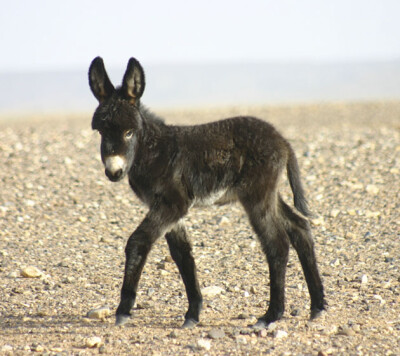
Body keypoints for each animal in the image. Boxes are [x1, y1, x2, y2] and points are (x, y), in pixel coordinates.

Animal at [89, 56, 326, 328]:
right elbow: (182, 255)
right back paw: (317, 306)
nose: (114, 172)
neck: (153, 150)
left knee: (277, 243)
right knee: (300, 227)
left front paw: (124, 309)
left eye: (129, 132)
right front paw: (193, 312)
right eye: (100, 132)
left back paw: (271, 315)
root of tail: (282, 140)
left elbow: (138, 242)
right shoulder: (168, 208)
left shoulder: (174, 203)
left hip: (256, 196)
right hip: (268, 194)